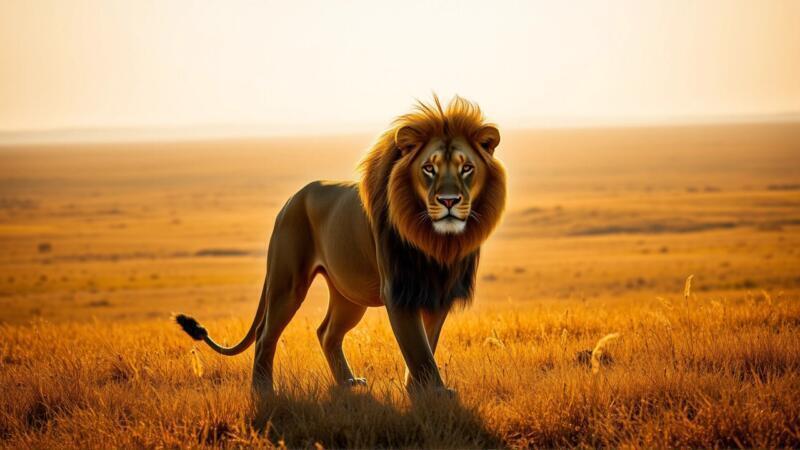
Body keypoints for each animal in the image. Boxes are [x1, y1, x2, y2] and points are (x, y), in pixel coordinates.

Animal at [175, 95, 506, 398]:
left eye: (467, 168)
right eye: (428, 168)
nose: (449, 201)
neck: (435, 241)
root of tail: (290, 200)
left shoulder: (438, 293)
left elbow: (427, 343)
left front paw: (418, 390)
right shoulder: (399, 292)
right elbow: (418, 348)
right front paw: (435, 392)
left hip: (349, 294)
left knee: (327, 332)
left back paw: (347, 382)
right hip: (288, 283)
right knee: (265, 332)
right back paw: (263, 388)